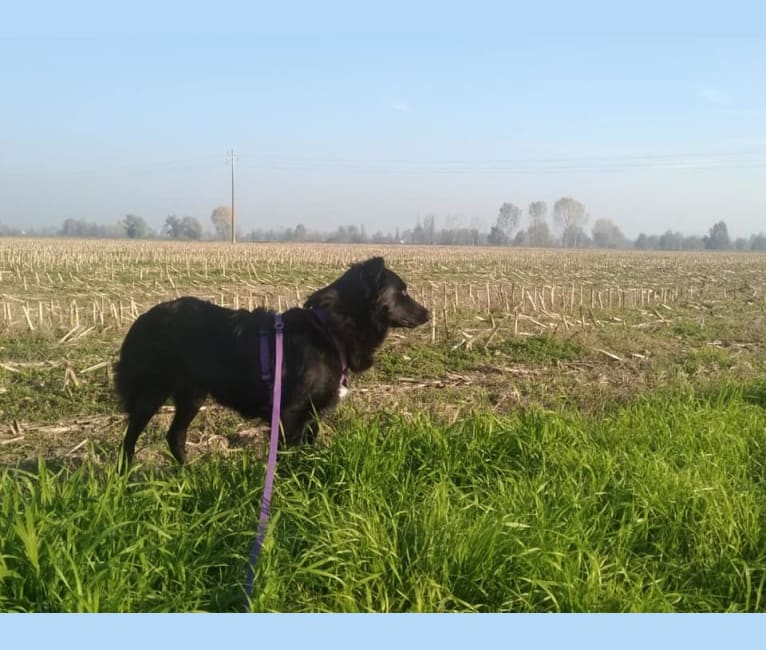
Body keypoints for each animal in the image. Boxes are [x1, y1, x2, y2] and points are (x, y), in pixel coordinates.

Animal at [118, 254, 436, 466]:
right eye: (403, 292)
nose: (429, 313)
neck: (329, 328)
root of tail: (143, 318)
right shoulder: (289, 413)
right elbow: (284, 457)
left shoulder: (312, 414)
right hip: (151, 393)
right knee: (129, 440)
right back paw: (127, 479)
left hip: (192, 396)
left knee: (175, 436)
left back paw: (189, 474)